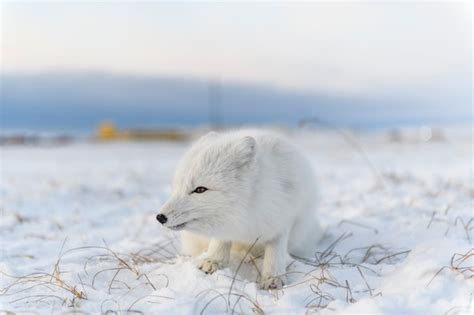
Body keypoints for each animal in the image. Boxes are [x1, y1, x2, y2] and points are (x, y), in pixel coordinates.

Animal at [156, 130, 322, 290]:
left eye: (200, 189)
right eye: (176, 187)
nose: (160, 217)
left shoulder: (283, 219)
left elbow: (275, 252)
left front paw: (273, 278)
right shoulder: (226, 226)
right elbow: (220, 241)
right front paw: (213, 261)